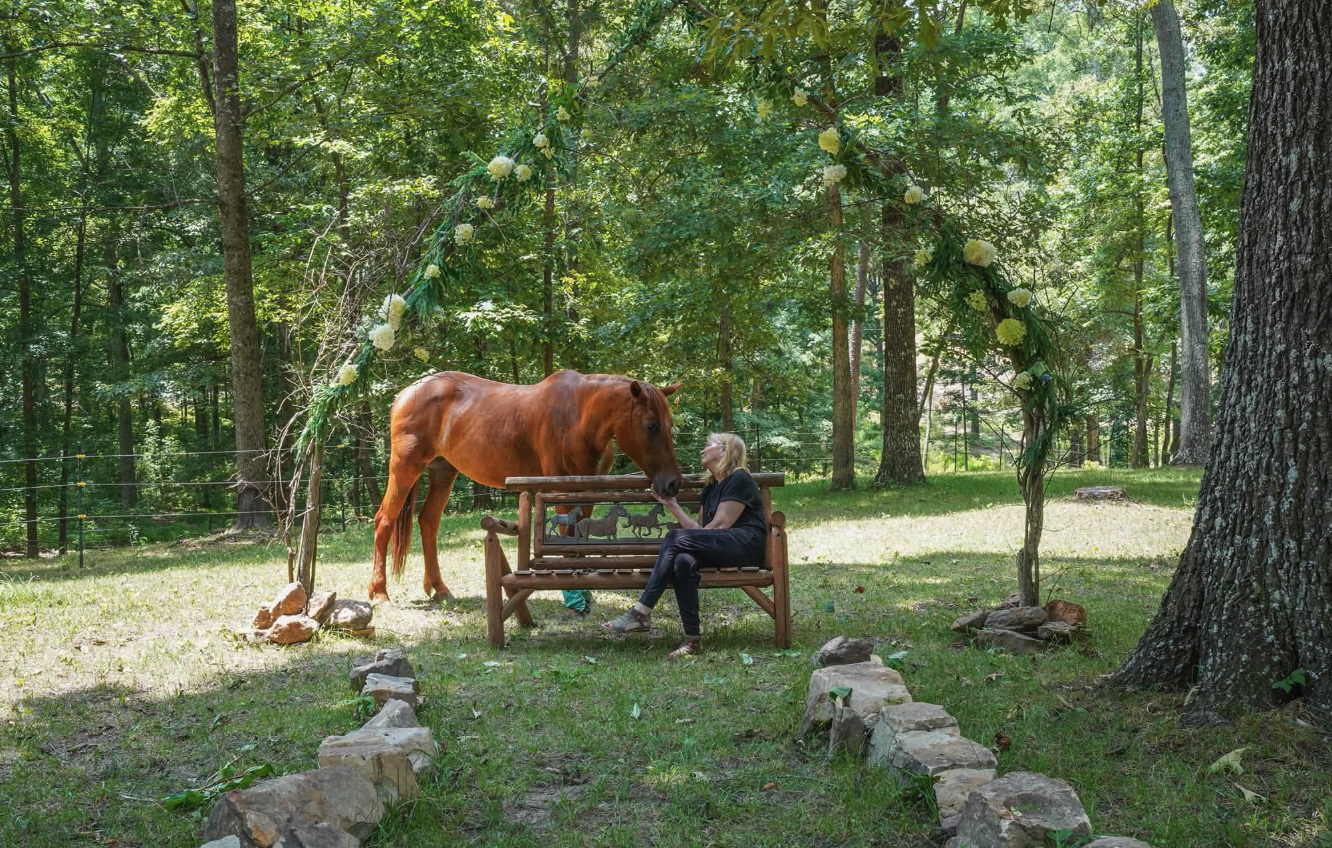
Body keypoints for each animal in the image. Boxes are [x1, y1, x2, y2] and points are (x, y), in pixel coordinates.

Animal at [369, 370, 684, 603]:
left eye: (669, 425)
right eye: (651, 426)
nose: (673, 484)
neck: (579, 418)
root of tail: (405, 394)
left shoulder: (587, 494)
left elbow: (580, 539)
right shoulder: (561, 494)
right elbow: (566, 539)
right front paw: (573, 593)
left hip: (443, 472)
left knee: (428, 523)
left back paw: (440, 589)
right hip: (405, 467)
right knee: (384, 521)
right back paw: (379, 593)